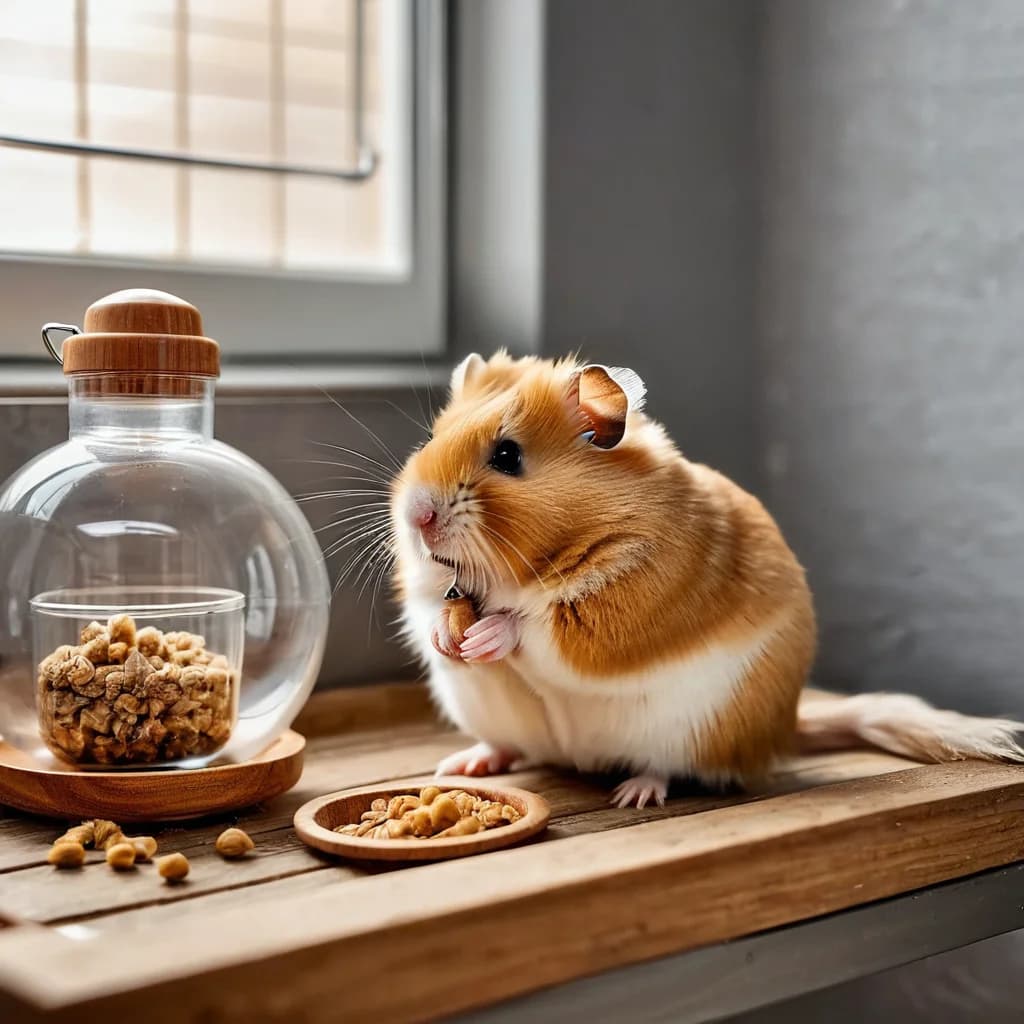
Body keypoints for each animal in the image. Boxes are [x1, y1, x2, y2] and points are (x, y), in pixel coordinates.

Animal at [392, 352, 1024, 807]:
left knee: (666, 767)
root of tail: (783, 730)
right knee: (506, 745)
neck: (521, 571)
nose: (416, 514)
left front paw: (487, 633)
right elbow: (434, 608)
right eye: (430, 439)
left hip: (689, 728)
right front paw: (450, 636)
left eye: (507, 456)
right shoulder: (429, 592)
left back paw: (634, 793)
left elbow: (542, 626)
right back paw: (467, 763)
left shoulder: (623, 601)